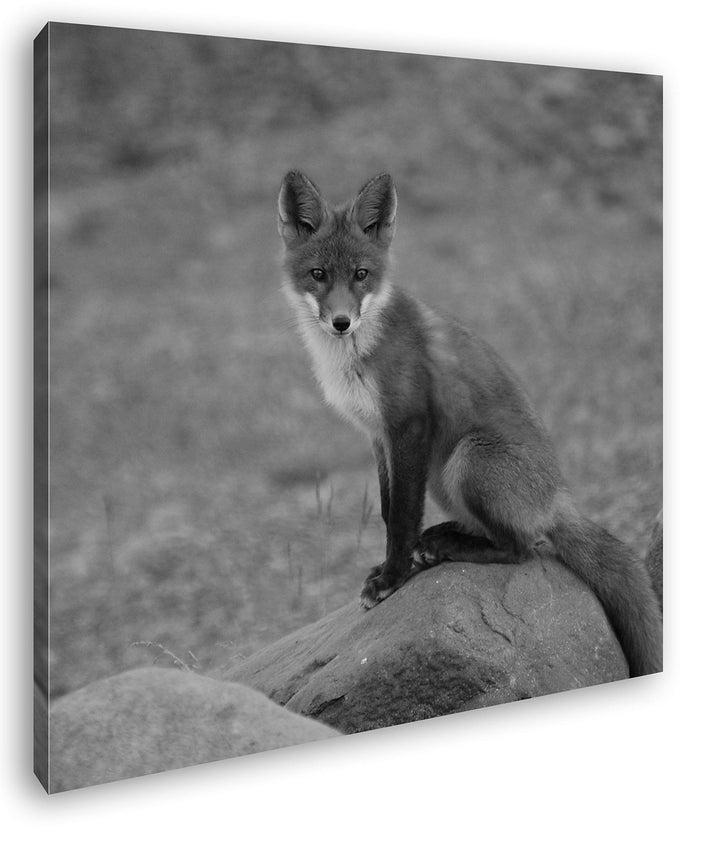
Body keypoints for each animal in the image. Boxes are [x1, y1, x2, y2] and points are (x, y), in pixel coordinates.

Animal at [277, 170, 663, 678]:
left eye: (361, 275)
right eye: (318, 275)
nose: (341, 322)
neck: (354, 356)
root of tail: (558, 496)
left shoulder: (409, 424)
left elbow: (401, 516)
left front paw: (392, 577)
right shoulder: (379, 436)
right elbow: (387, 509)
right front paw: (394, 566)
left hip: (467, 460)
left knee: (523, 547)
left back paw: (449, 547)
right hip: (443, 477)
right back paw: (443, 537)